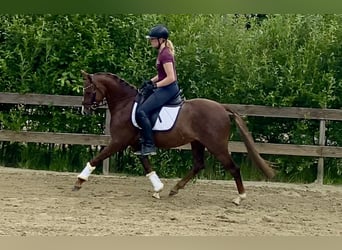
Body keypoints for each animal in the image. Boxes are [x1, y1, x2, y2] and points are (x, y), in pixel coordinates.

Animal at [74, 71, 276, 205]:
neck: (125, 103)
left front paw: (79, 181)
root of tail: (222, 108)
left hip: (216, 145)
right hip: (197, 143)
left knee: (233, 168)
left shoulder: (118, 141)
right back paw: (174, 189)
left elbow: (97, 158)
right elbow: (146, 165)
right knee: (198, 165)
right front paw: (158, 189)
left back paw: (239, 197)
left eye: (88, 90)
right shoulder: (135, 144)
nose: (84, 110)